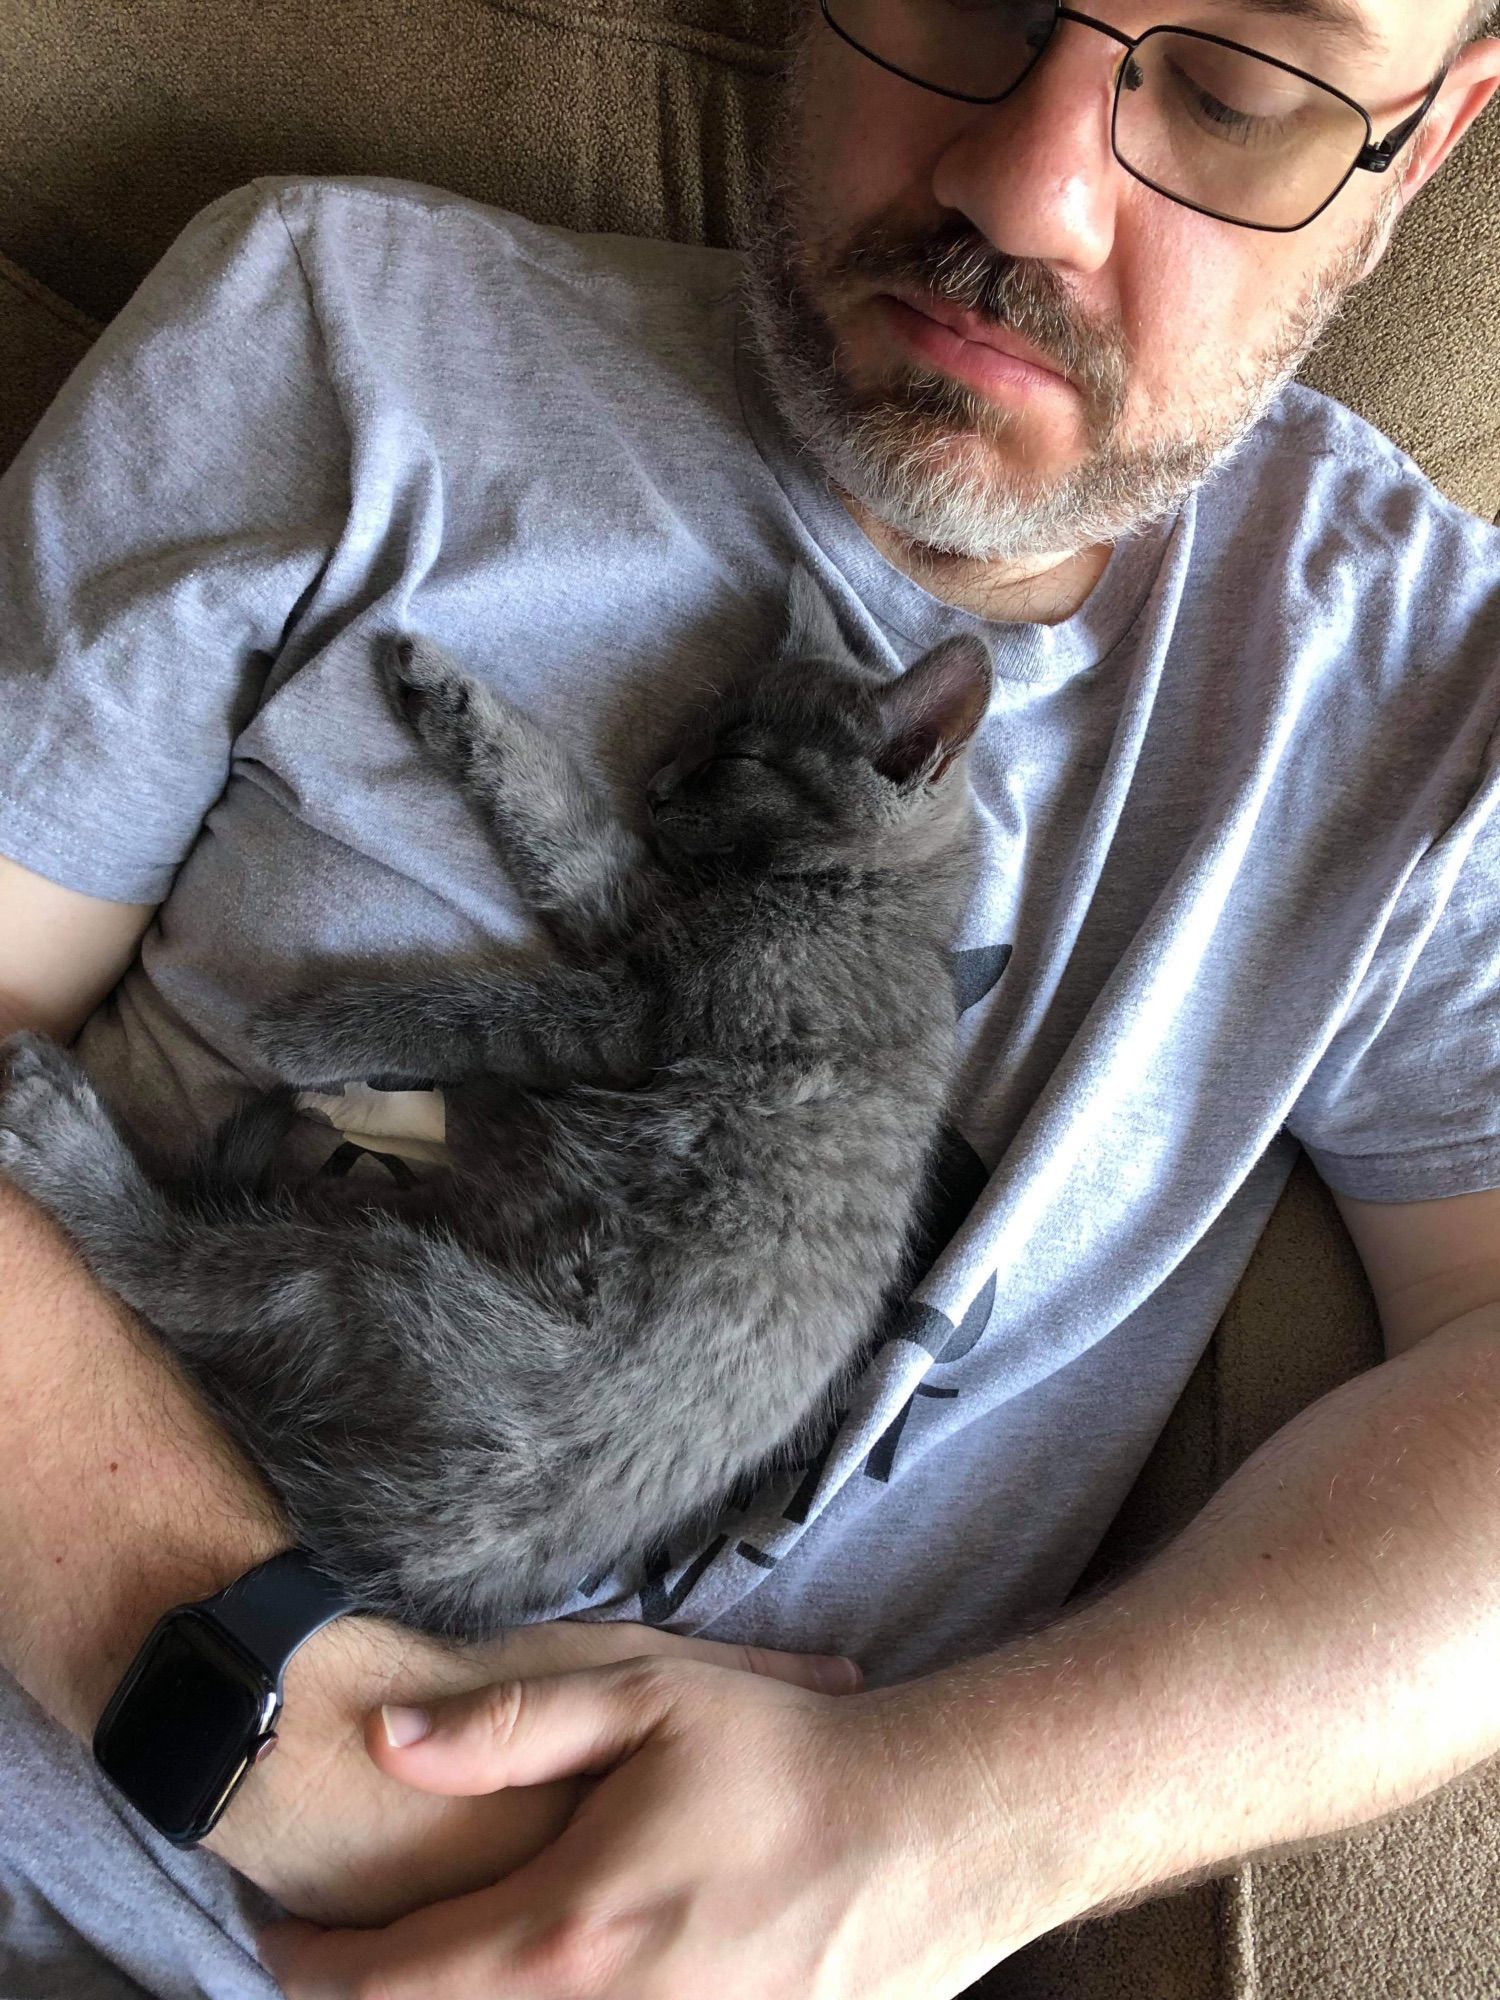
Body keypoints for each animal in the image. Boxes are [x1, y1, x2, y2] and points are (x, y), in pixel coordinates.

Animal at [0, 568, 1000, 1640]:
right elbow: (560, 823)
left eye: (737, 756)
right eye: (697, 727)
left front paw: (319, 1030)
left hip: (376, 1286)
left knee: (173, 1274)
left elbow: (483, 1009)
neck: (861, 898)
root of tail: (419, 1573)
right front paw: (448, 698)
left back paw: (62, 1130)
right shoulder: (630, 919)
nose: (656, 784)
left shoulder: (634, 1011)